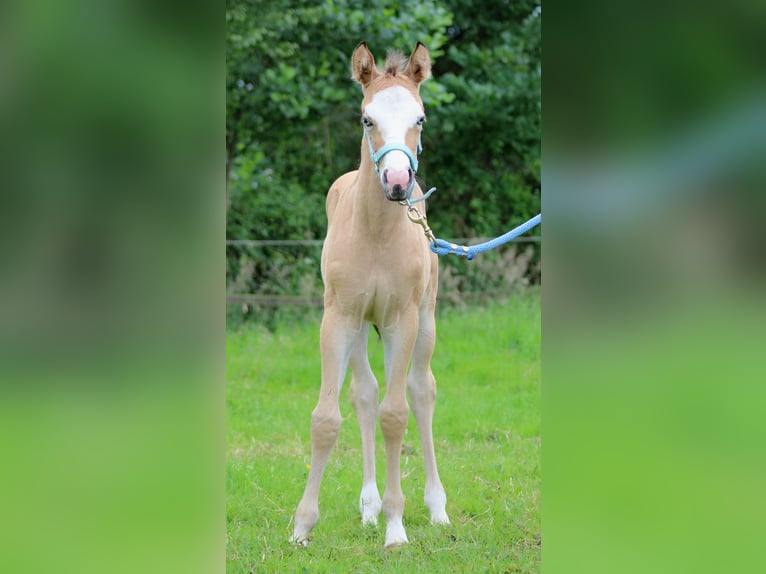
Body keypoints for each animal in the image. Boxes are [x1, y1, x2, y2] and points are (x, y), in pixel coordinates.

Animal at [292, 44, 450, 548]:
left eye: (420, 118)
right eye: (367, 119)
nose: (397, 181)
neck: (378, 233)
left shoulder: (402, 319)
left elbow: (395, 415)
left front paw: (396, 529)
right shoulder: (338, 318)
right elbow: (326, 418)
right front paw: (302, 527)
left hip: (426, 320)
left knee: (420, 391)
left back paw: (436, 508)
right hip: (363, 326)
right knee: (363, 394)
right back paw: (368, 506)